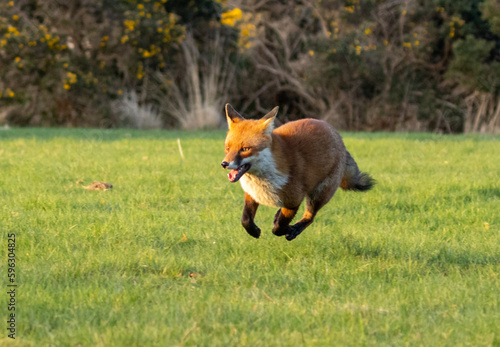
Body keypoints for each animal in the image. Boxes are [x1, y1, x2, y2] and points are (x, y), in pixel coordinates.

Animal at [221, 104, 374, 242]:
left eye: (245, 149)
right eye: (228, 148)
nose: (224, 164)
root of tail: (336, 133)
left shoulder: (294, 201)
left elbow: (279, 228)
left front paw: (288, 229)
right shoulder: (252, 194)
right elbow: (245, 219)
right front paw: (253, 231)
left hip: (319, 195)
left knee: (309, 218)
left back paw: (295, 229)